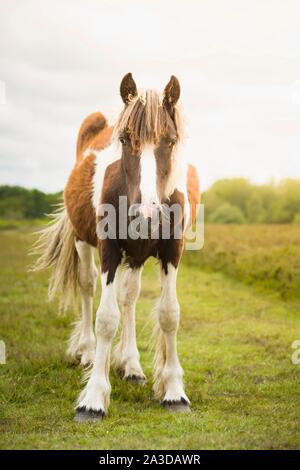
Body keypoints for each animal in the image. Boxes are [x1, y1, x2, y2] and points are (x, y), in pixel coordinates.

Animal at [33, 73, 199, 422]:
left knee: (129, 297)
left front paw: (174, 392)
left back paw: (132, 366)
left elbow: (169, 314)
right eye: (124, 139)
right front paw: (94, 398)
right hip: (84, 243)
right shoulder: (108, 249)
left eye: (170, 141)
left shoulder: (172, 251)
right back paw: (86, 351)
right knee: (87, 287)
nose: (146, 216)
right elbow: (106, 318)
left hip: (135, 256)